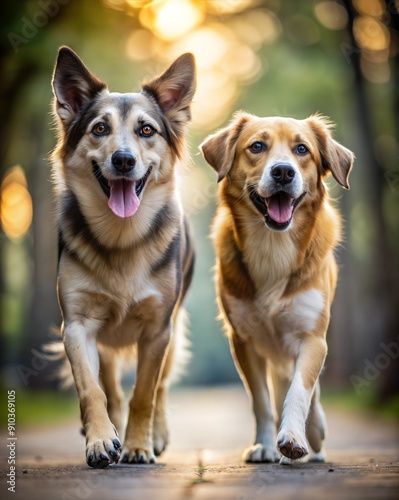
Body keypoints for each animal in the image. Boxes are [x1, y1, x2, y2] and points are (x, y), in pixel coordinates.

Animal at [50, 48, 198, 466]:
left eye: (146, 130)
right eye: (100, 128)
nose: (124, 160)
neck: (122, 237)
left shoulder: (158, 329)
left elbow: (145, 393)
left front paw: (138, 446)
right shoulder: (77, 326)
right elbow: (93, 390)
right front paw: (102, 440)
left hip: (174, 330)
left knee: (160, 389)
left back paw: (155, 436)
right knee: (111, 389)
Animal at [202, 113, 354, 464]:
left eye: (302, 149)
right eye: (257, 146)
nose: (283, 171)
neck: (273, 245)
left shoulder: (312, 338)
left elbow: (300, 390)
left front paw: (295, 438)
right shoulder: (243, 340)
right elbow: (261, 400)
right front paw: (265, 446)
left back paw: (315, 434)